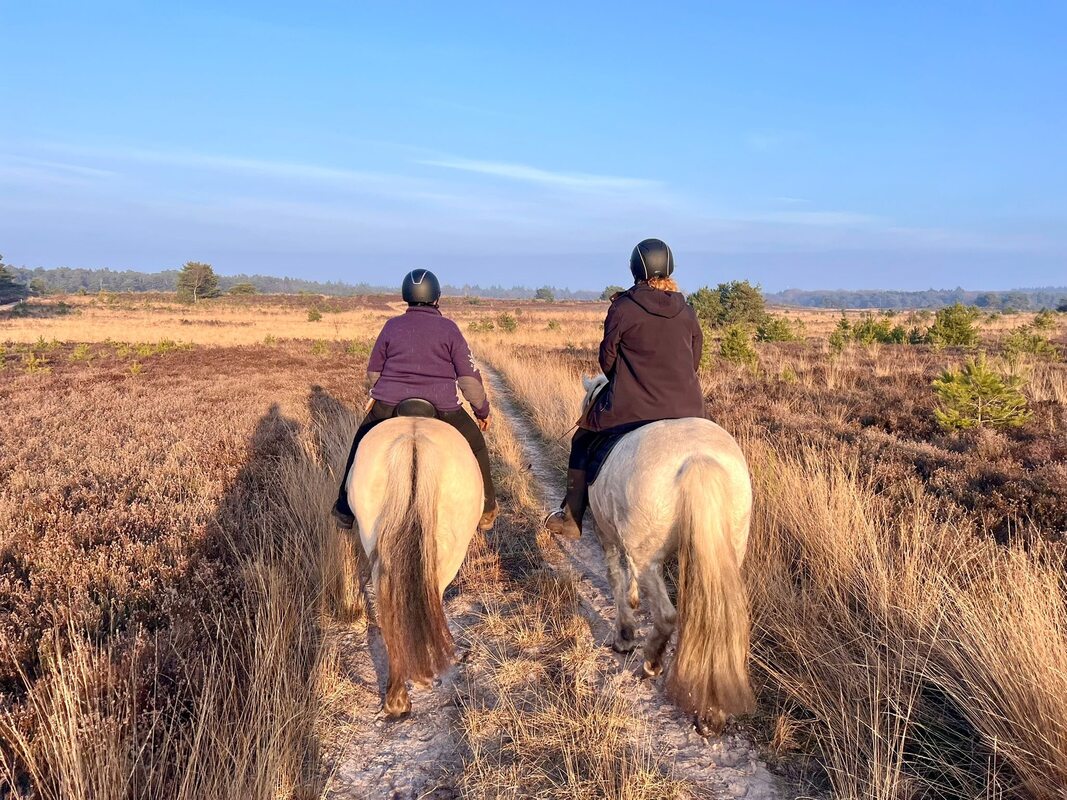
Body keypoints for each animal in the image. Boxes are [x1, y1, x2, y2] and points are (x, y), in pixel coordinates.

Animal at [579, 374, 755, 733]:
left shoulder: (606, 535)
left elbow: (615, 577)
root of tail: (697, 458)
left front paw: (624, 635)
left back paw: (650, 663)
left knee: (666, 616)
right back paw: (712, 714)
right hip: (729, 548)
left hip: (648, 557)